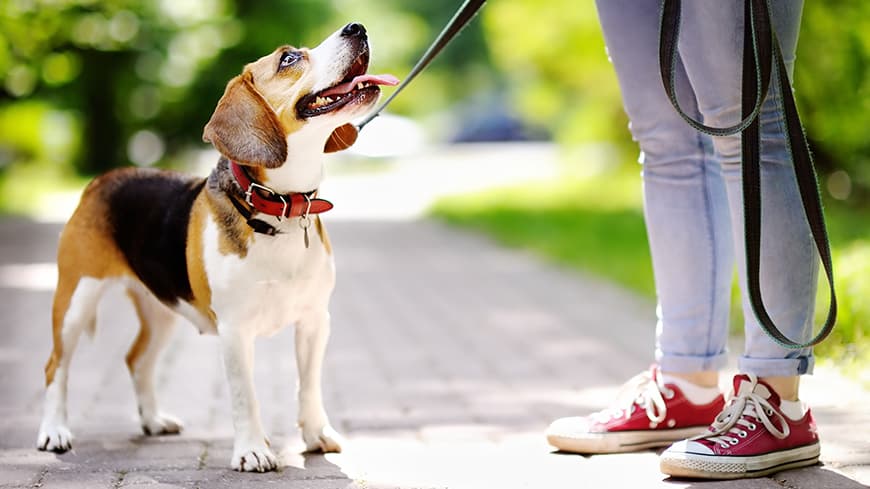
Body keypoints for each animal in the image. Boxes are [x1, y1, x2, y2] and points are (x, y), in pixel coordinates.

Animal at [36, 23, 398, 472]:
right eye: (289, 59)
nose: (357, 28)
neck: (279, 208)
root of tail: (103, 179)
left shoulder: (315, 320)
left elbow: (309, 385)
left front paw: (316, 435)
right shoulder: (235, 330)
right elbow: (246, 396)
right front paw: (253, 450)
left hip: (161, 310)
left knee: (137, 360)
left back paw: (153, 420)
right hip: (75, 299)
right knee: (55, 366)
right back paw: (54, 432)